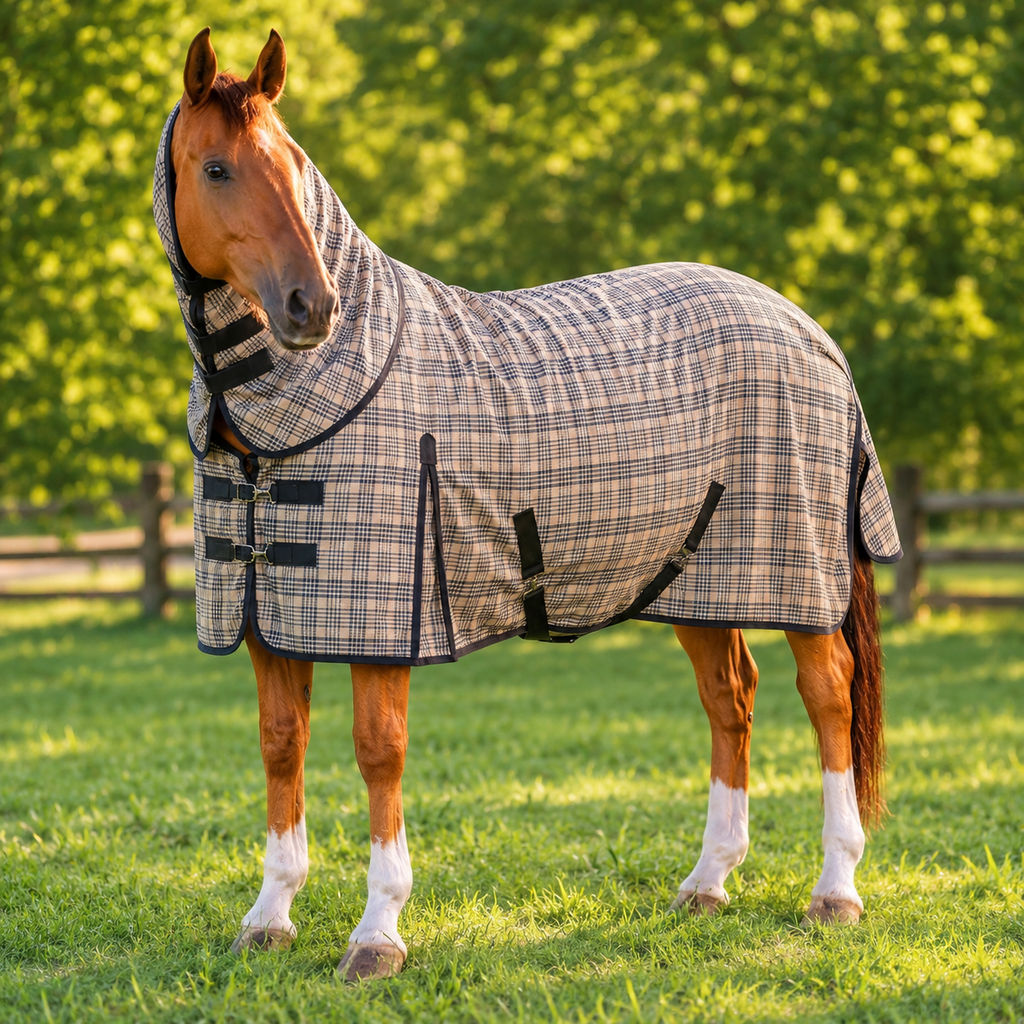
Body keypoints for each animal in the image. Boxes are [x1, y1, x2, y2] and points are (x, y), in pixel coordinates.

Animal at [157, 28, 901, 981]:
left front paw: (378, 934)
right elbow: (280, 745)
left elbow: (378, 752)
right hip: (699, 574)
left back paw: (835, 890)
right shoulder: (269, 619)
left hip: (800, 573)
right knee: (730, 697)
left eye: (292, 165)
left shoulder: (384, 622)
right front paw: (269, 917)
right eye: (216, 169)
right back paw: (708, 883)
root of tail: (809, 332)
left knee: (829, 697)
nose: (310, 306)